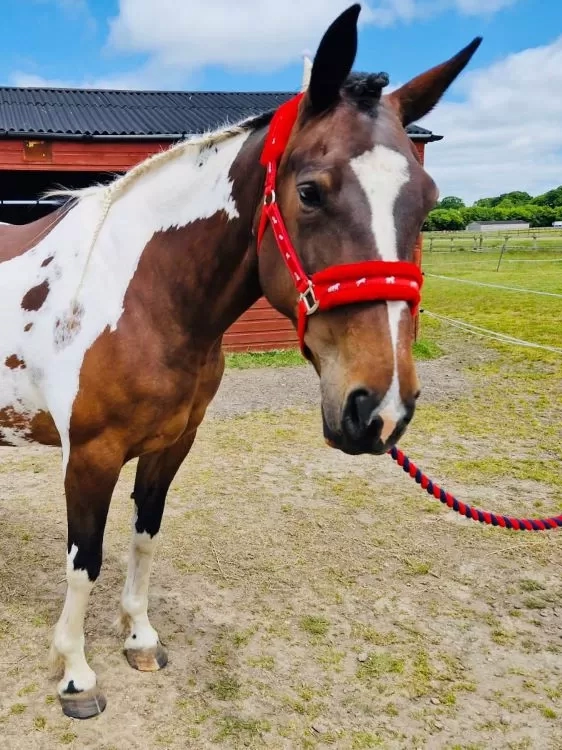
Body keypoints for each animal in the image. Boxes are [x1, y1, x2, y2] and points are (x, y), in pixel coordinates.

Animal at [0, 5, 480, 724]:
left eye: (425, 200)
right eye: (309, 191)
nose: (380, 407)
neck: (143, 294)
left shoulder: (171, 445)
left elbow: (144, 535)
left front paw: (140, 639)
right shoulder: (89, 455)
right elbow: (84, 562)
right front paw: (77, 677)